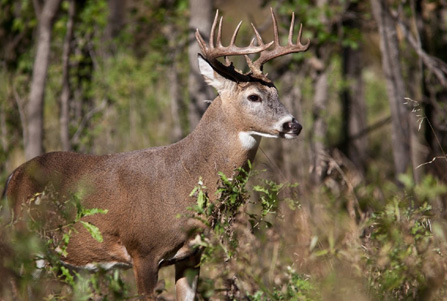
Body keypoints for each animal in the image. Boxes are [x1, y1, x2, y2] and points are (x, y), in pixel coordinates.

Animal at [1, 8, 308, 298]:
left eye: (276, 92)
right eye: (253, 96)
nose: (294, 125)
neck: (185, 178)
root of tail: (13, 176)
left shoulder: (191, 256)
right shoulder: (143, 251)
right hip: (25, 241)